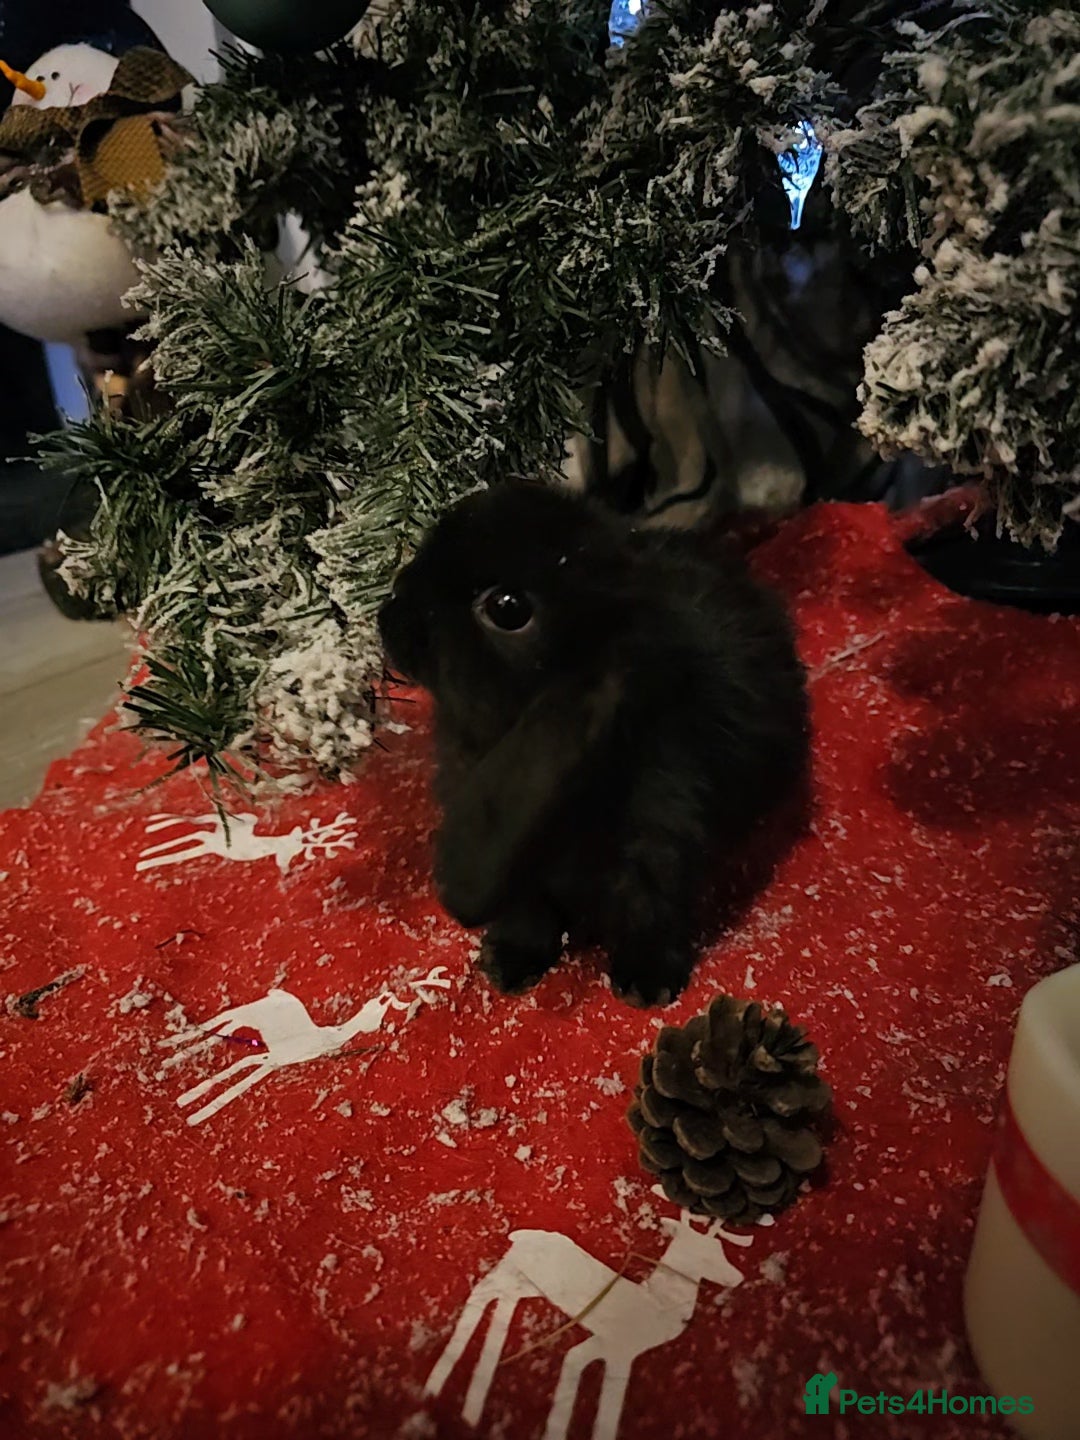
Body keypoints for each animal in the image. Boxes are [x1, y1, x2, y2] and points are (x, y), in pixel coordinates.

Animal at [377, 482, 809, 1006]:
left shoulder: (661, 840)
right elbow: (528, 911)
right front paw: (508, 962)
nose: (389, 612)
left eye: (506, 608)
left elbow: (652, 911)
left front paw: (647, 982)